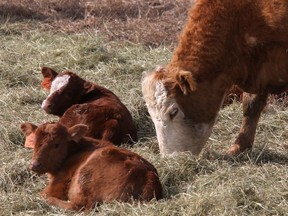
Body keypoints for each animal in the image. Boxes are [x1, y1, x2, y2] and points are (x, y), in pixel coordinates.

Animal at [20, 121, 163, 211]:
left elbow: (41, 193)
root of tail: (150, 176)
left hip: (86, 176)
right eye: (34, 142)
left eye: (56, 144)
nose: (35, 165)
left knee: (80, 205)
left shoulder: (56, 185)